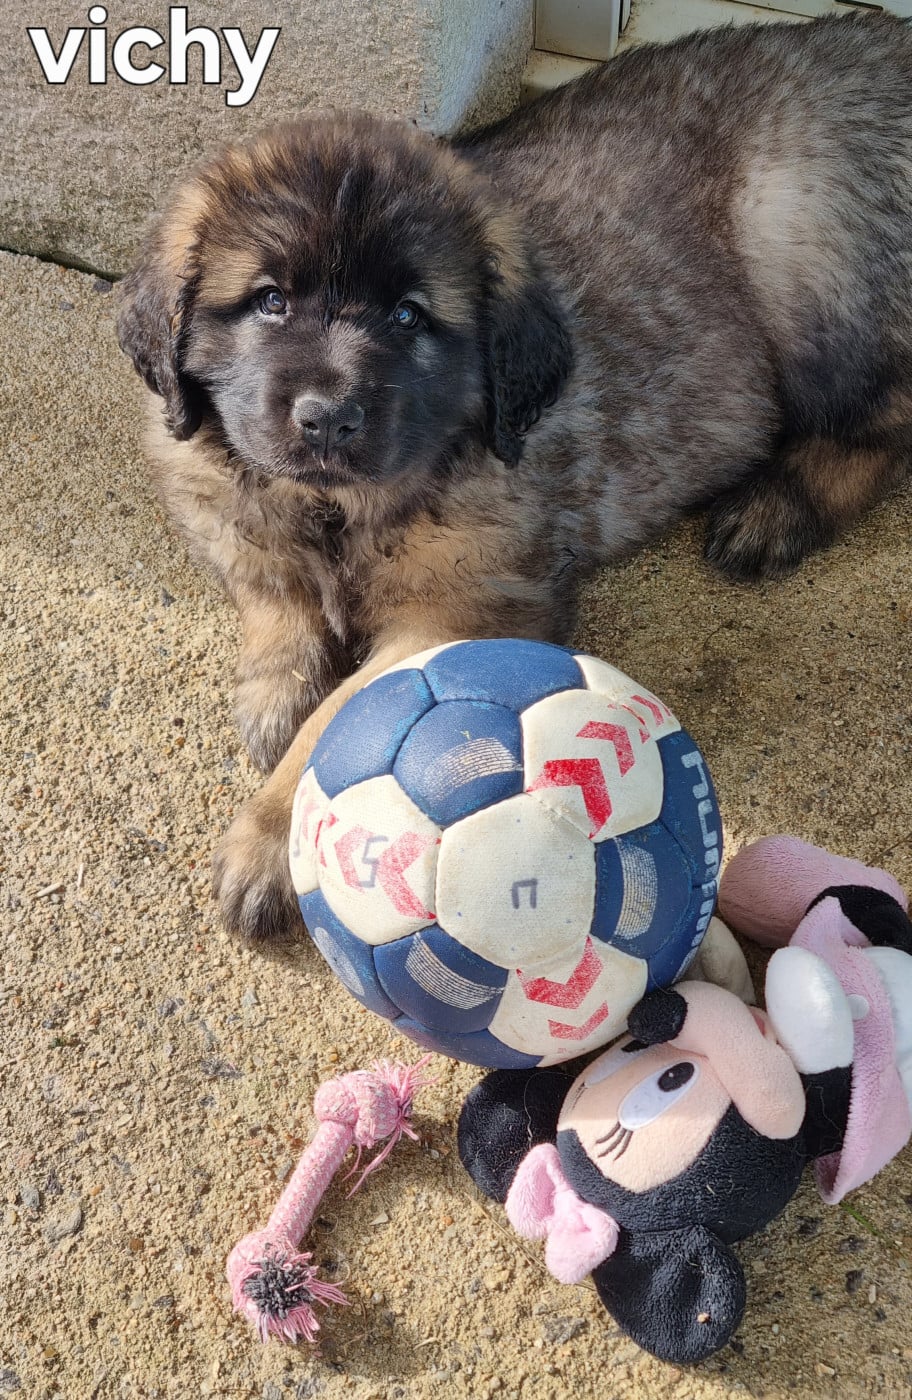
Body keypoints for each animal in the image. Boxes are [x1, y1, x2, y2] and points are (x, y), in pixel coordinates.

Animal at [117, 12, 912, 941]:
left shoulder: (465, 604)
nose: (328, 417)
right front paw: (277, 682)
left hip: (811, 255)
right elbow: (270, 583)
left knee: (888, 415)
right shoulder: (219, 495)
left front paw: (274, 835)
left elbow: (347, 720)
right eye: (271, 301)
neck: (338, 506)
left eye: (408, 317)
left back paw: (777, 507)